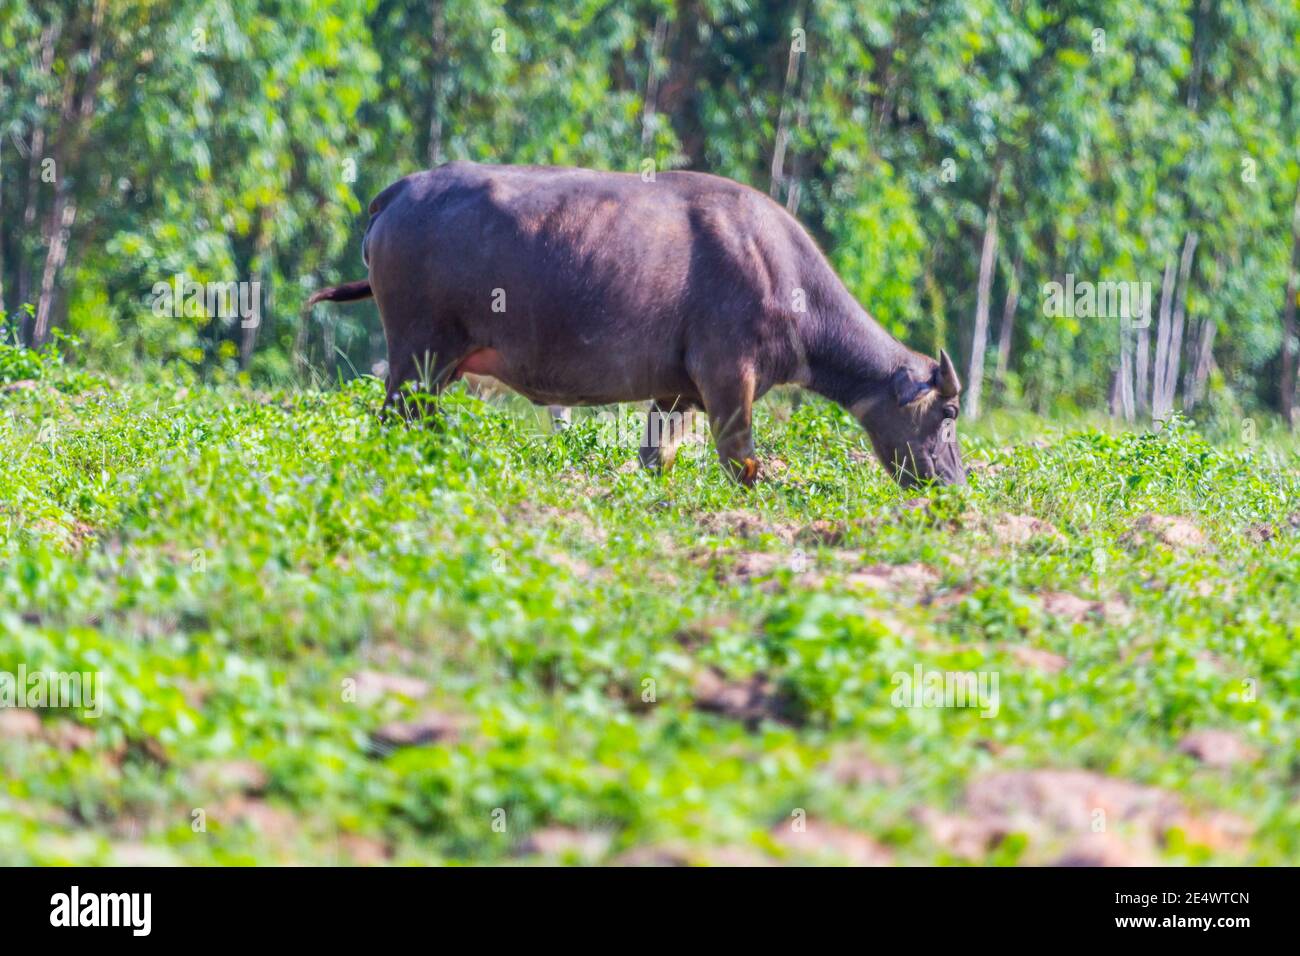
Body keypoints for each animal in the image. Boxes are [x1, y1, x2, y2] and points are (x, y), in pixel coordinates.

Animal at [306, 160, 967, 486]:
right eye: (950, 413)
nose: (954, 485)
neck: (778, 267)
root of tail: (398, 192)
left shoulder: (676, 394)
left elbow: (658, 459)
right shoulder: (729, 379)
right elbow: (744, 464)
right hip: (419, 357)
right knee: (395, 423)